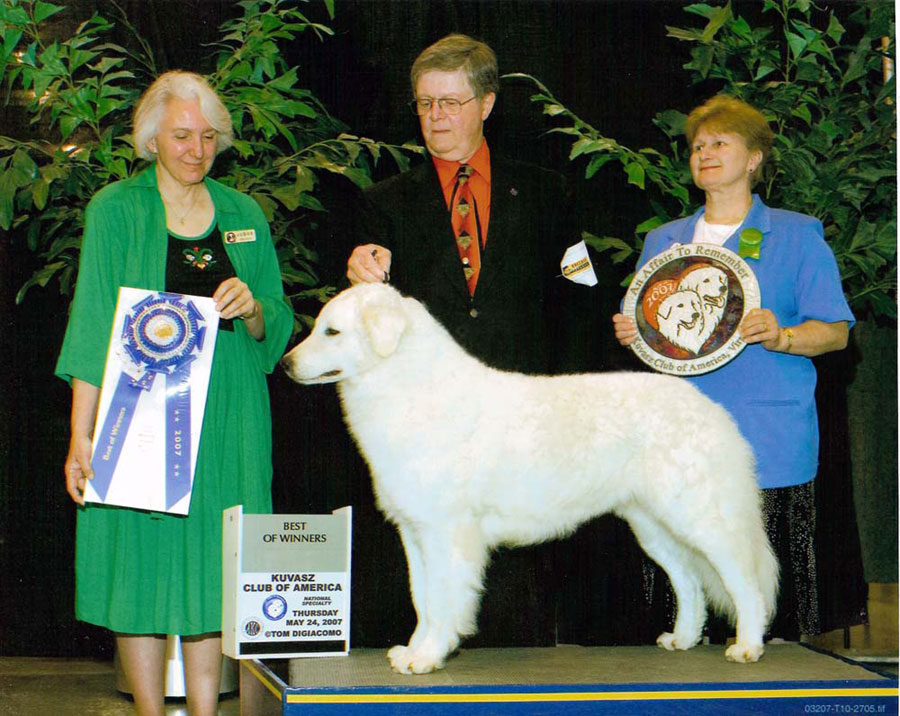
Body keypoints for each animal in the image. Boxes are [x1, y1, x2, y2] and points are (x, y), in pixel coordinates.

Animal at [280, 282, 772, 676]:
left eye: (331, 332)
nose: (284, 365)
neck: (408, 387)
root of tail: (712, 408)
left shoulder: (445, 532)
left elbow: (442, 598)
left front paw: (430, 656)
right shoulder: (413, 531)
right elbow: (422, 598)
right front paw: (414, 652)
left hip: (701, 517)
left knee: (745, 581)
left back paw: (748, 646)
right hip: (651, 525)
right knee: (689, 582)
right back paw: (683, 639)